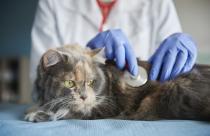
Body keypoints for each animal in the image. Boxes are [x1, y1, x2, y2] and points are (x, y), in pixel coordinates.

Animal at [24, 44, 210, 122]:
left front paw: (38, 114)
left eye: (91, 82)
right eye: (69, 83)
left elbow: (69, 111)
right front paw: (34, 109)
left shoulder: (108, 106)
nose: (84, 97)